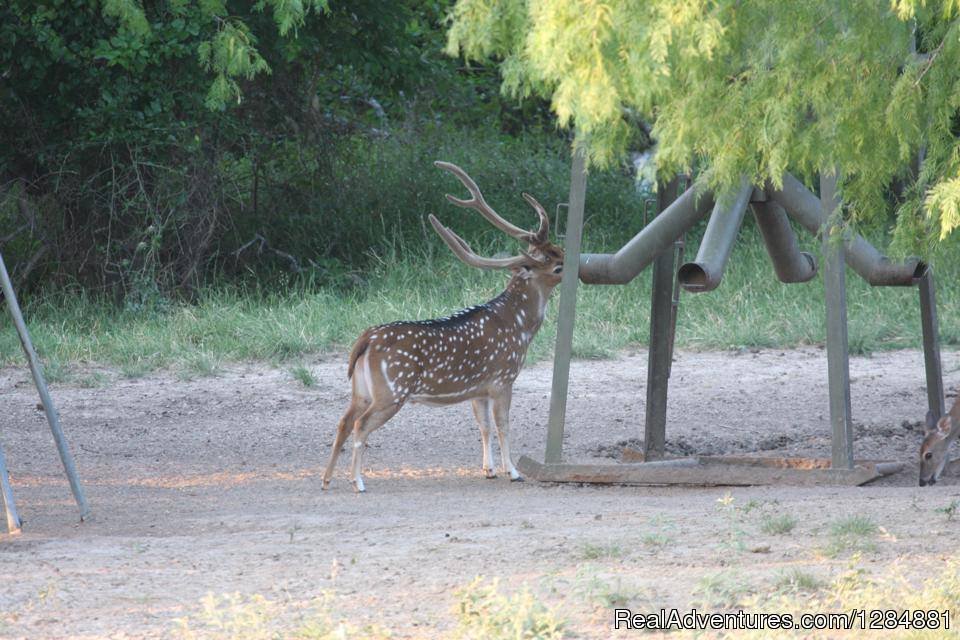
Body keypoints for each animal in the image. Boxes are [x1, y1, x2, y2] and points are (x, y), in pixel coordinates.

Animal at [322, 162, 564, 492]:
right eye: (557, 264)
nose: (574, 260)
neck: (520, 327)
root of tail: (366, 339)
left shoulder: (479, 388)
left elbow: (483, 426)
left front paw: (489, 470)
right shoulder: (503, 377)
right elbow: (503, 425)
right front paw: (513, 471)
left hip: (361, 389)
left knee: (343, 421)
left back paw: (326, 479)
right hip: (392, 389)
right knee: (361, 425)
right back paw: (358, 481)